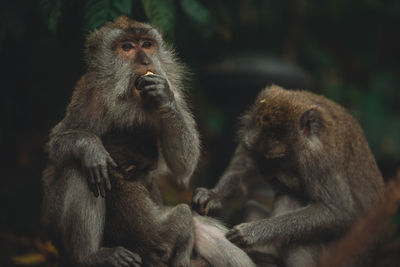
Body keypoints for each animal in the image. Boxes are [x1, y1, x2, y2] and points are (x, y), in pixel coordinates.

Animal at [192, 86, 386, 267]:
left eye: (275, 158)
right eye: (257, 154)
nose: (264, 171)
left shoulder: (320, 158)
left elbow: (338, 211)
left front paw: (255, 232)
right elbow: (240, 177)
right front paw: (211, 196)